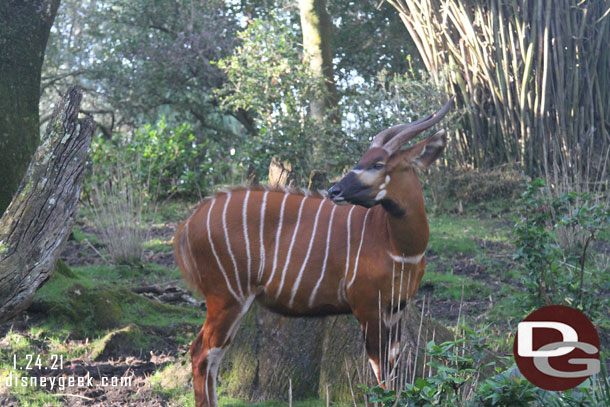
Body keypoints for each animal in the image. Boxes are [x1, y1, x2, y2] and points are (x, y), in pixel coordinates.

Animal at [172, 97, 452, 406]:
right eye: (362, 160)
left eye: (378, 163)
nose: (335, 190)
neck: (398, 246)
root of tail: (187, 224)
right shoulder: (368, 306)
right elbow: (380, 377)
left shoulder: (396, 309)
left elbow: (392, 372)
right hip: (227, 296)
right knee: (201, 352)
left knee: (212, 355)